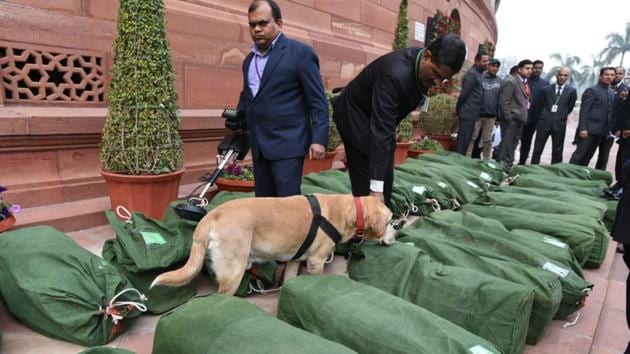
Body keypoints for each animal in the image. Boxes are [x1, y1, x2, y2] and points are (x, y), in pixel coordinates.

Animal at [151, 194, 396, 294]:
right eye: (390, 220)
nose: (397, 234)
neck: (351, 210)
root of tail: (211, 216)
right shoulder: (316, 261)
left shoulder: (295, 261)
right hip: (233, 272)